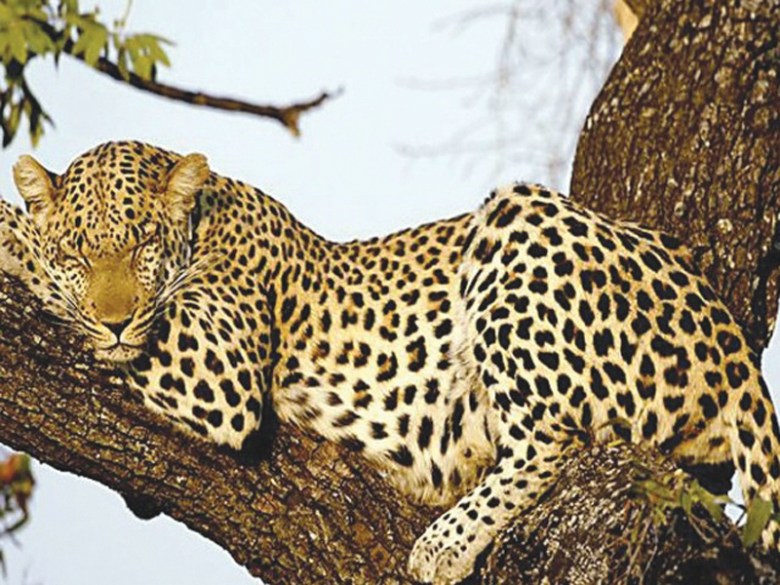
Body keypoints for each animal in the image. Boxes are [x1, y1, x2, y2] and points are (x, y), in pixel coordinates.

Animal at [1, 140, 779, 584]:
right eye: (80, 253)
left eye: (139, 247)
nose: (114, 319)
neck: (211, 215)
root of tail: (731, 341)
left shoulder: (222, 372)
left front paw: (12, 235)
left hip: (515, 219)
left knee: (551, 440)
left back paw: (443, 544)